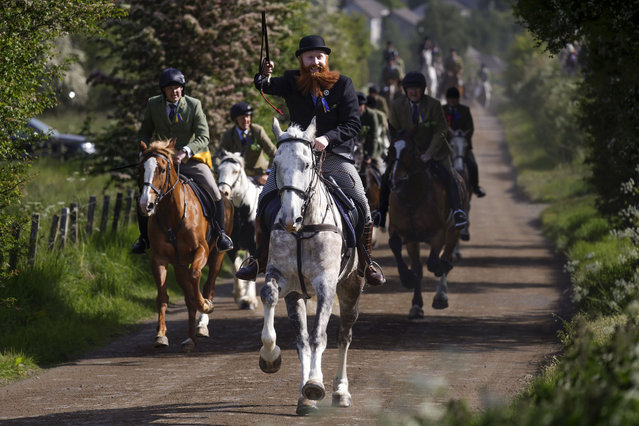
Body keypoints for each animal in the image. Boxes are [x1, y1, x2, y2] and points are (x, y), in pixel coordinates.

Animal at [139, 138, 234, 352]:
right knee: (188, 293)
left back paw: (200, 325)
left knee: (208, 286)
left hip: (217, 256)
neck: (173, 214)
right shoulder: (160, 259)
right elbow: (163, 296)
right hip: (179, 263)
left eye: (162, 170)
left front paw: (204, 305)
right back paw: (190, 338)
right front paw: (160, 335)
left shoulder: (201, 251)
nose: (145, 204)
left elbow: (195, 277)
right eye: (142, 168)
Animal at [256, 119, 364, 416]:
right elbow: (270, 299)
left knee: (344, 336)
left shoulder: (326, 284)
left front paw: (315, 384)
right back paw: (304, 398)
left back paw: (340, 392)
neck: (303, 228)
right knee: (302, 339)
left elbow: (319, 337)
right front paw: (270, 357)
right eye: (277, 164)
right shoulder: (283, 279)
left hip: (351, 286)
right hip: (298, 295)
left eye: (306, 164)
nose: (289, 218)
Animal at [384, 136, 464, 320]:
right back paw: (417, 304)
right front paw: (408, 280)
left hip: (453, 231)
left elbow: (434, 262)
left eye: (411, 152)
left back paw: (441, 296)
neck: (413, 196)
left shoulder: (438, 234)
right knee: (420, 266)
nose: (394, 181)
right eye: (390, 151)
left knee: (446, 257)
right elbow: (395, 245)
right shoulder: (402, 233)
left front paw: (439, 269)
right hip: (414, 242)